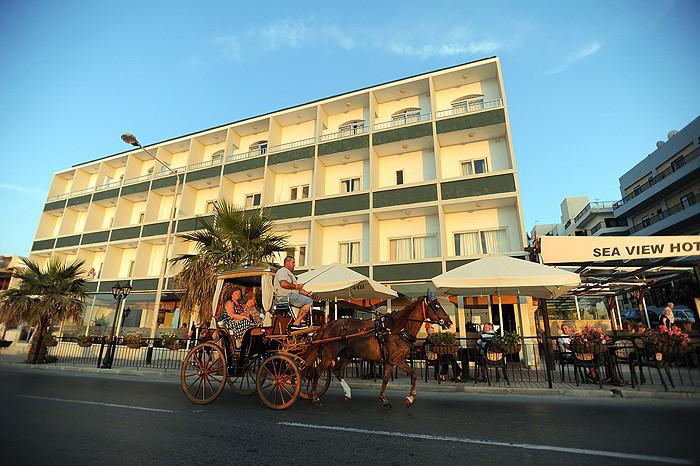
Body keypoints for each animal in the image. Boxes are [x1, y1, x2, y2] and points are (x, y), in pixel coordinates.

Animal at [304, 294, 452, 408]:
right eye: (436, 306)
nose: (449, 322)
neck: (397, 329)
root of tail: (329, 324)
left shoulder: (390, 361)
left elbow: (386, 378)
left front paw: (384, 399)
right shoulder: (396, 359)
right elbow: (413, 374)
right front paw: (410, 398)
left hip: (347, 355)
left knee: (337, 370)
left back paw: (347, 392)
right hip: (329, 355)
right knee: (316, 372)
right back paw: (315, 398)